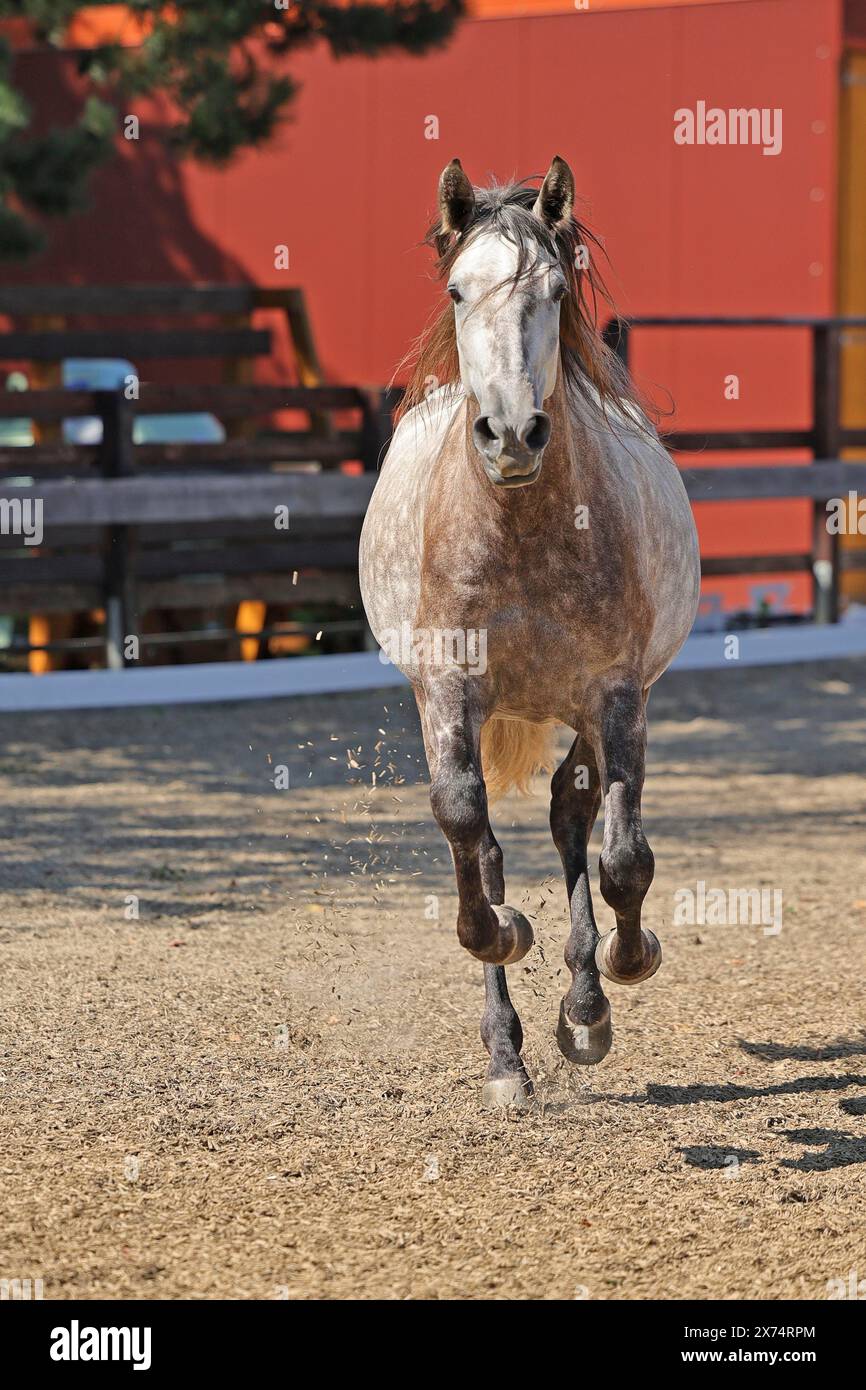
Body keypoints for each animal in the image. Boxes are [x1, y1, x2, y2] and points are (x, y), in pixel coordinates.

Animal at [359, 157, 700, 1108]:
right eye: (456, 289)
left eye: (554, 288)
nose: (511, 433)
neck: (520, 530)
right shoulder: (447, 692)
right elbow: (465, 829)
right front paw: (505, 931)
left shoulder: (616, 695)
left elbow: (623, 858)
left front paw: (623, 965)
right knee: (488, 843)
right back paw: (507, 1054)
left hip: (581, 712)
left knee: (571, 819)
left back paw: (584, 1008)